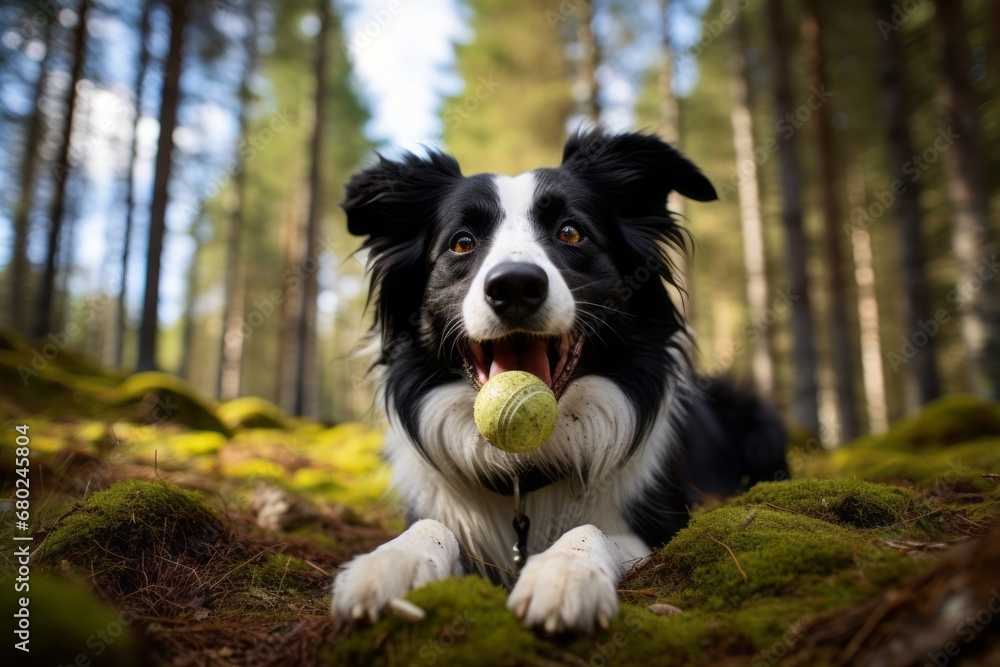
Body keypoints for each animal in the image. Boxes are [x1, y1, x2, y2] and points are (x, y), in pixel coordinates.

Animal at [332, 128, 784, 636]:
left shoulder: (661, 525)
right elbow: (430, 526)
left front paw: (563, 573)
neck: (525, 468)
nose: (514, 285)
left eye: (571, 232)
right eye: (462, 243)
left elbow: (591, 529)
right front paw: (388, 564)